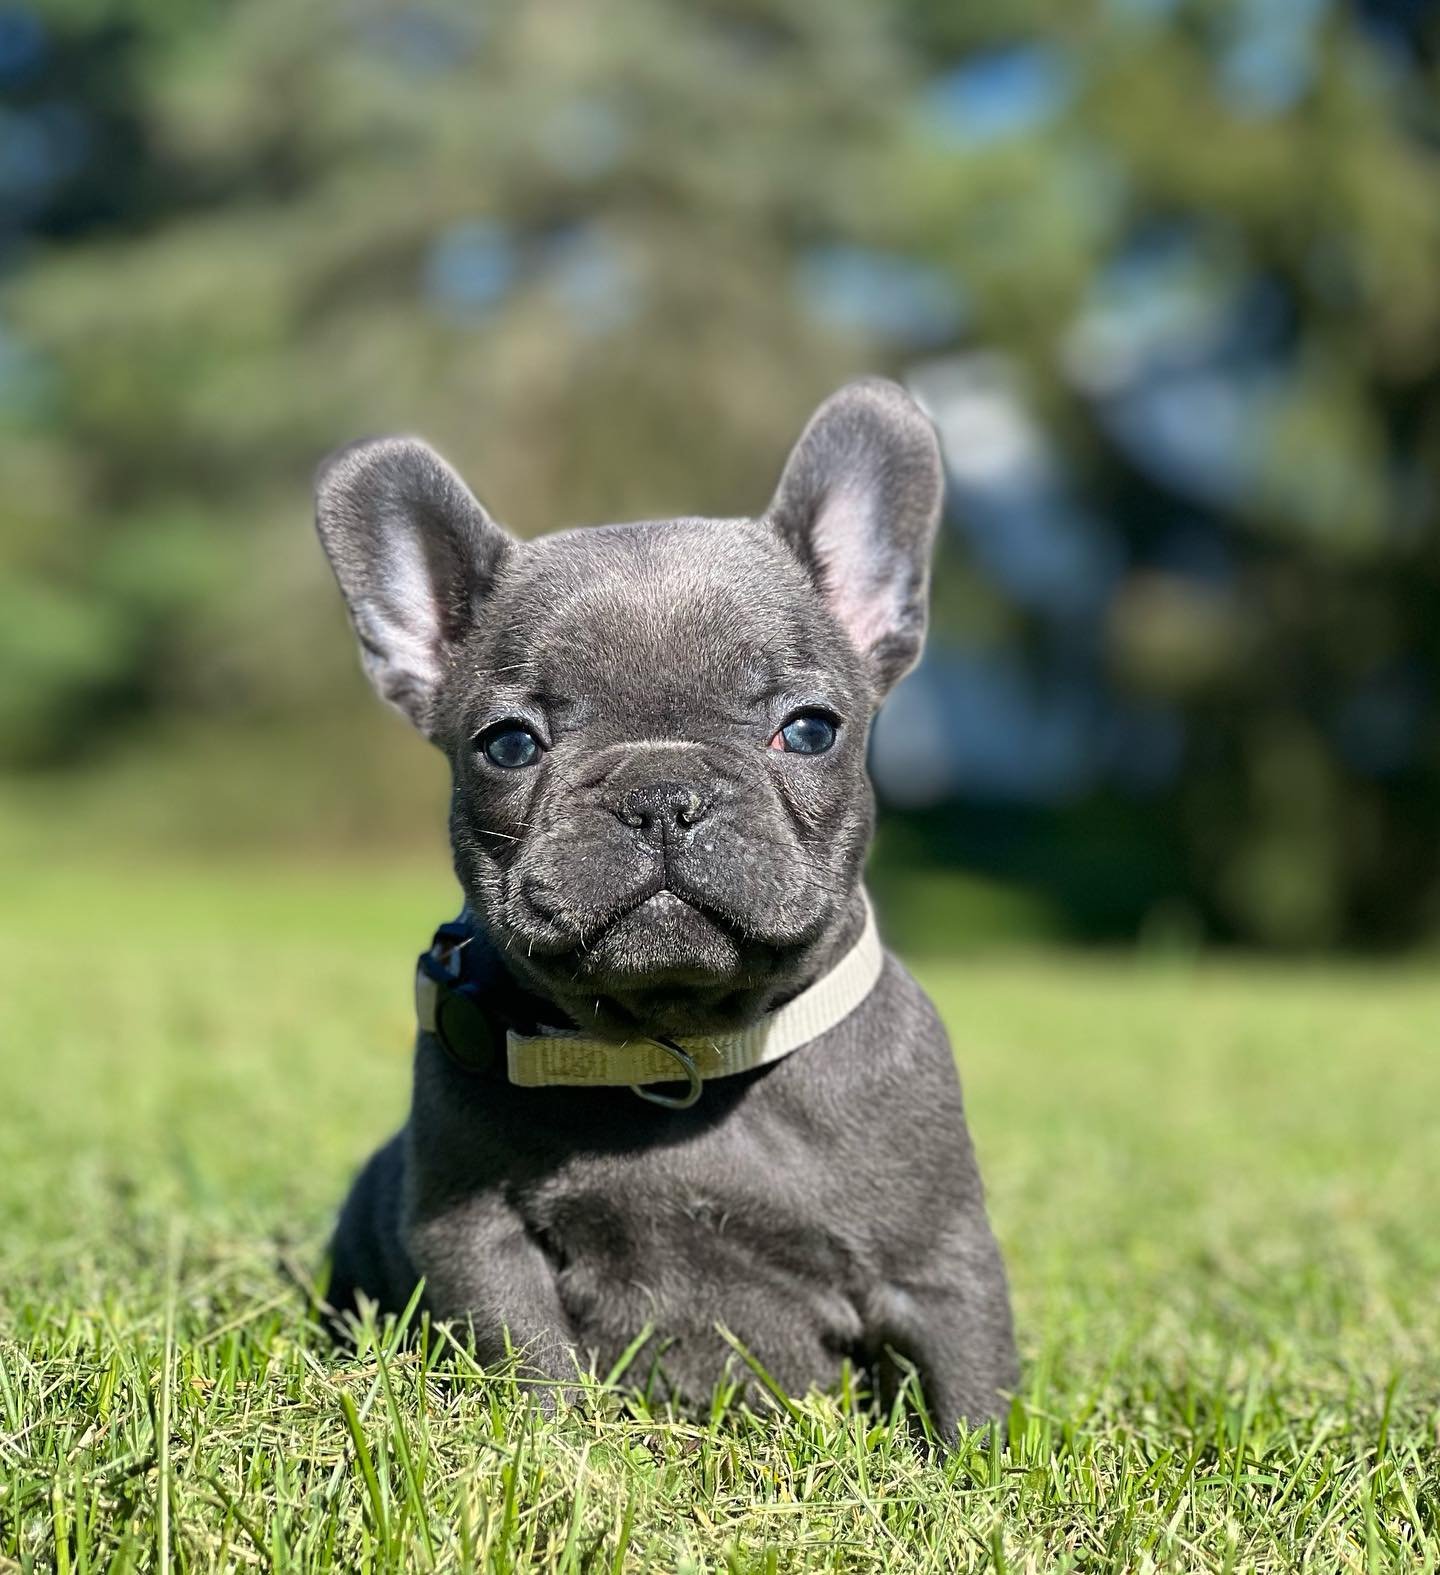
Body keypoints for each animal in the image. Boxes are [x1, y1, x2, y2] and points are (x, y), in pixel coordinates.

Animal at [311, 378, 1008, 1430]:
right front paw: (559, 1450)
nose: (661, 793)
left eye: (810, 729)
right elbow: (531, 1364)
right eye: (508, 744)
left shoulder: (940, 1265)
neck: (681, 1049)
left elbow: (971, 1391)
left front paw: (978, 1461)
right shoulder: (479, 1237)